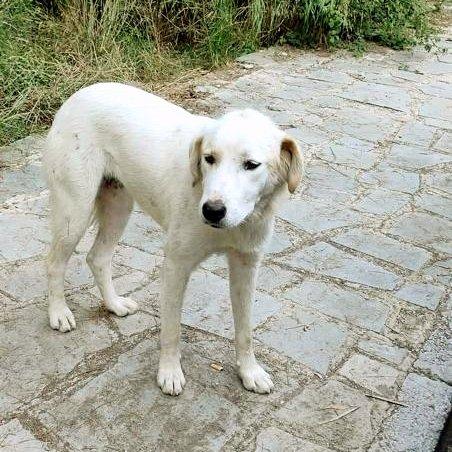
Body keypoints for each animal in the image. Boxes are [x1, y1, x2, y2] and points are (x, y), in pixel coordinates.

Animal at [43, 82, 303, 395]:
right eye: (209, 158)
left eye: (251, 165)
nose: (212, 211)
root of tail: (80, 93)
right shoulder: (175, 266)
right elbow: (172, 328)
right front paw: (169, 372)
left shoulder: (246, 266)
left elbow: (245, 329)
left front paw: (250, 371)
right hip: (75, 210)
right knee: (55, 263)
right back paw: (58, 312)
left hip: (119, 204)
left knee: (98, 257)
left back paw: (114, 304)